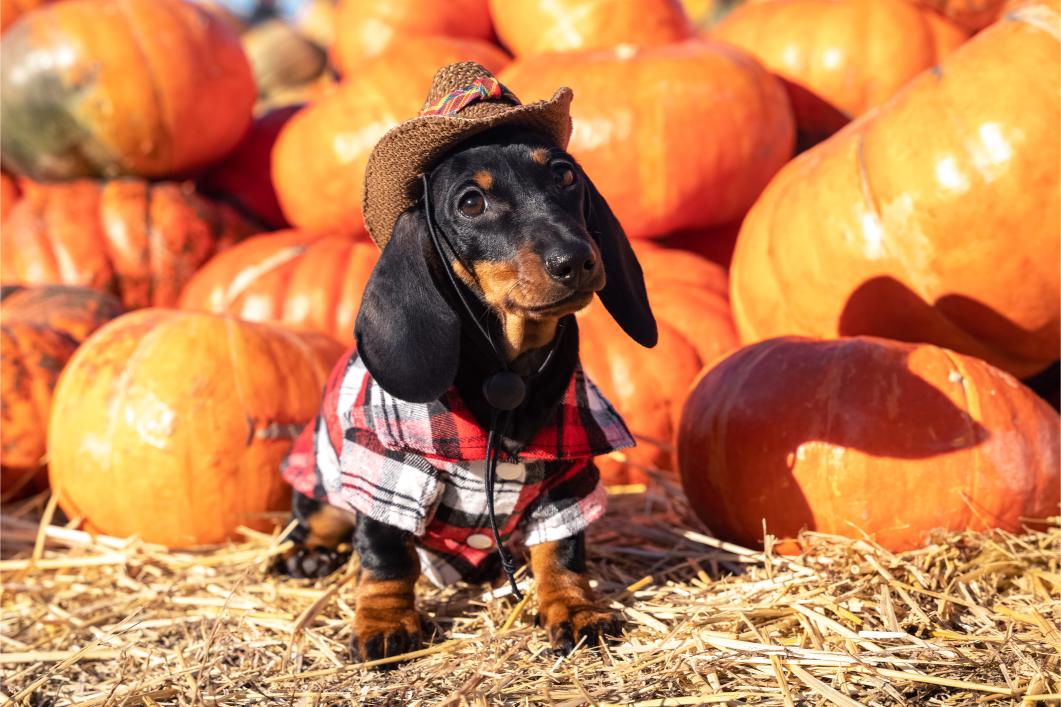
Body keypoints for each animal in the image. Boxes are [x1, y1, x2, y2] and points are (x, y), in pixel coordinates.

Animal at [275, 61, 653, 662]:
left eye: (565, 176)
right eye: (471, 203)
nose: (575, 260)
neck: (508, 372)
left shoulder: (569, 474)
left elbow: (562, 550)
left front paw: (574, 607)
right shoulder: (386, 468)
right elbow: (386, 556)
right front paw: (385, 622)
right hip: (325, 478)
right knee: (316, 519)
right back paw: (303, 554)